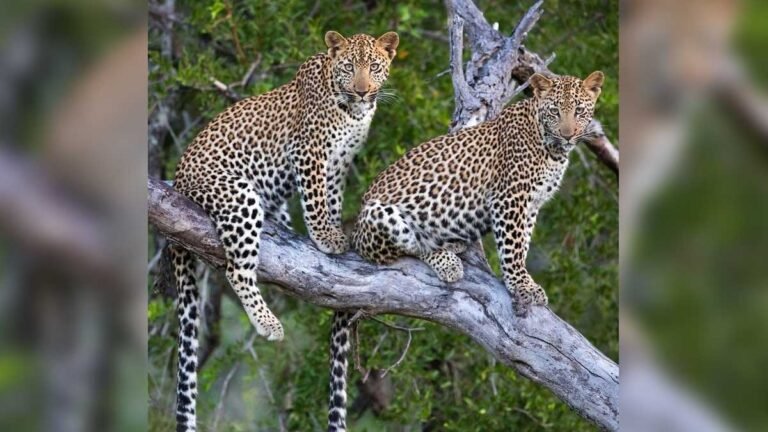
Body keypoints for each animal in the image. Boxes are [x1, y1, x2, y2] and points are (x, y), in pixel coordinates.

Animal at [167, 30, 399, 432]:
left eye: (374, 66)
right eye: (348, 66)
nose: (362, 91)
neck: (352, 112)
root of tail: (179, 179)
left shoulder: (340, 162)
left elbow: (331, 198)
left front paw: (334, 230)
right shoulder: (310, 152)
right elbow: (315, 199)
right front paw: (325, 236)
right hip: (239, 196)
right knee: (237, 269)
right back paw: (268, 324)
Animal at [326, 71, 604, 431]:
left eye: (580, 111)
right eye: (556, 111)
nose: (569, 133)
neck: (551, 147)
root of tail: (355, 228)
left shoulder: (530, 206)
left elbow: (522, 244)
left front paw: (523, 282)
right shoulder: (510, 198)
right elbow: (513, 247)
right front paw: (522, 287)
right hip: (380, 216)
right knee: (401, 248)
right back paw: (446, 260)